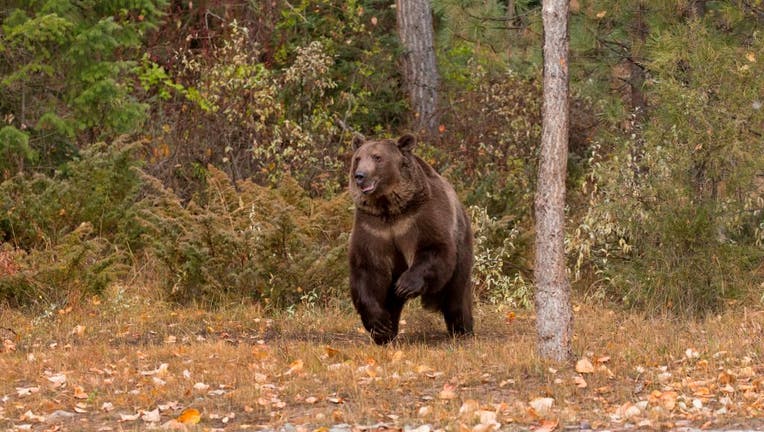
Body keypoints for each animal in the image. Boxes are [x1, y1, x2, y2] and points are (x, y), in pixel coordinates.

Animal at [348, 132, 472, 344]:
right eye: (358, 158)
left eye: (377, 157)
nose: (360, 176)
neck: (390, 208)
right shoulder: (372, 227)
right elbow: (367, 269)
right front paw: (379, 324)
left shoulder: (422, 216)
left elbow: (434, 248)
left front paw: (405, 285)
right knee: (391, 300)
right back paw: (387, 332)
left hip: (462, 244)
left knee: (457, 295)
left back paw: (463, 329)